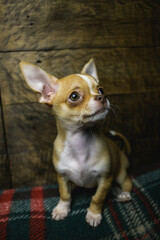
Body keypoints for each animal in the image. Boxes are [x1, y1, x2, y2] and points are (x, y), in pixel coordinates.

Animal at [20, 58, 132, 227]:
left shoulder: (105, 178)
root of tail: (121, 151)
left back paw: (124, 194)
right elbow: (65, 195)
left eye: (101, 90)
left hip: (119, 173)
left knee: (127, 182)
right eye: (74, 96)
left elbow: (97, 198)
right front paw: (62, 209)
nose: (102, 97)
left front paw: (93, 214)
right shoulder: (62, 177)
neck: (80, 142)